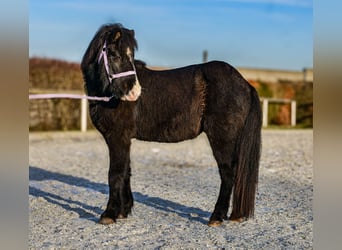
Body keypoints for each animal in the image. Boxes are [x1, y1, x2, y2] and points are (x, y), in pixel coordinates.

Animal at [81, 23, 262, 227]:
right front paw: (123, 211)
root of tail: (245, 84)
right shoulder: (125, 140)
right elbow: (126, 172)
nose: (135, 92)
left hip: (222, 138)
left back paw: (216, 216)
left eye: (130, 57)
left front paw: (109, 214)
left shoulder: (118, 138)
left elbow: (115, 174)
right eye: (113, 54)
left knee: (228, 174)